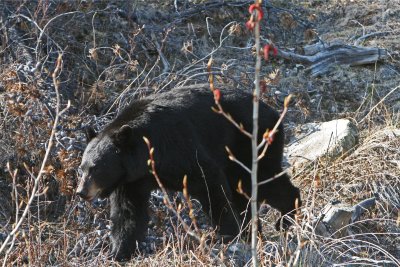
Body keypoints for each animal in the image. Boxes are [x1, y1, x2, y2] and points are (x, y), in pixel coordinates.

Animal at [76, 88, 300, 262]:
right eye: (82, 167)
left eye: (96, 168)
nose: (81, 192)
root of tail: (273, 111)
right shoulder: (131, 179)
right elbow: (128, 212)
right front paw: (118, 252)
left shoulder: (177, 148)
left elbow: (209, 181)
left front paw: (226, 234)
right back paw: (252, 231)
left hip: (250, 143)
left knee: (262, 181)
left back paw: (286, 219)